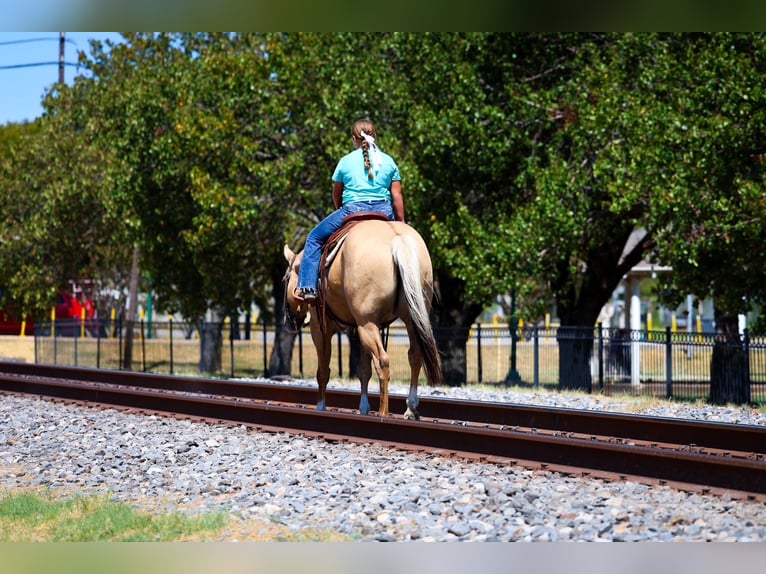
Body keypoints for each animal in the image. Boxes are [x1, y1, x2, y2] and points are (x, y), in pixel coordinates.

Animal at [282, 217, 442, 418]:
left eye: (285, 278)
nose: (289, 319)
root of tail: (398, 239)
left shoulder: (320, 329)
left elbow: (323, 370)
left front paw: (320, 406)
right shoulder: (361, 328)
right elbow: (364, 368)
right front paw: (364, 408)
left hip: (367, 325)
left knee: (382, 361)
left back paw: (383, 413)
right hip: (408, 320)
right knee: (414, 355)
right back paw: (410, 408)